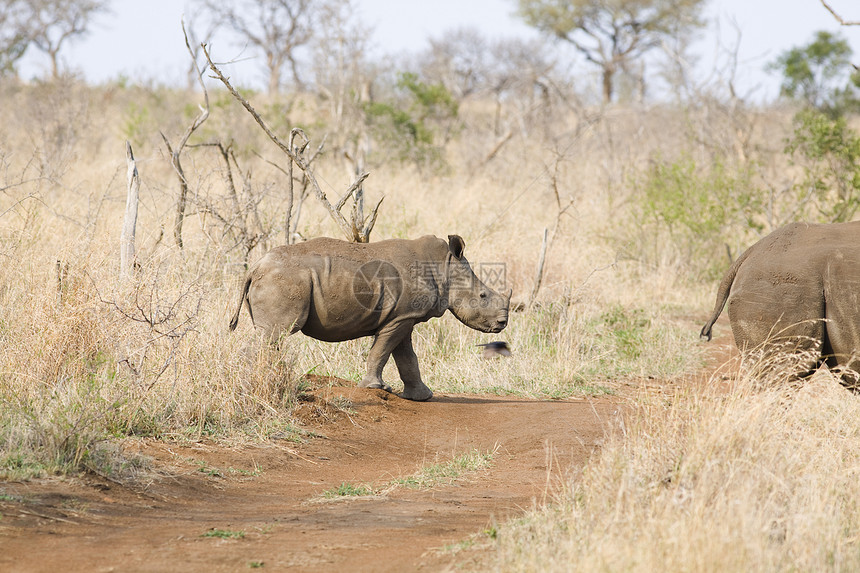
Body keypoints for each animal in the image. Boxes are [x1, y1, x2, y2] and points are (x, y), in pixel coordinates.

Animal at [228, 235, 510, 400]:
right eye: (483, 295)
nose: (502, 323)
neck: (445, 267)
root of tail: (255, 267)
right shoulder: (400, 318)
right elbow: (382, 351)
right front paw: (376, 389)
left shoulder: (404, 316)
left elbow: (407, 358)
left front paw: (422, 396)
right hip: (284, 280)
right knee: (274, 333)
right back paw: (255, 382)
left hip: (279, 279)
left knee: (270, 337)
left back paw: (266, 379)